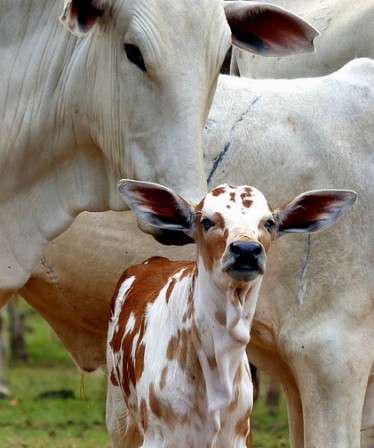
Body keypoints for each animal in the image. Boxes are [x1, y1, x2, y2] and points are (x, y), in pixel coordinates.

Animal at [106, 179, 356, 448]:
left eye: (268, 222)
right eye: (207, 221)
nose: (246, 249)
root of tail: (154, 260)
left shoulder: (238, 435)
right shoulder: (159, 436)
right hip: (118, 414)